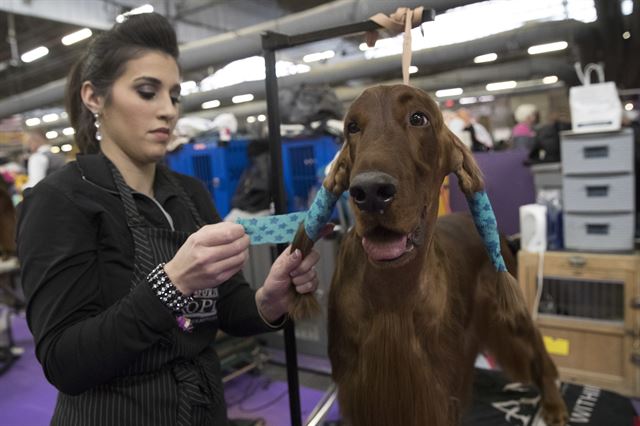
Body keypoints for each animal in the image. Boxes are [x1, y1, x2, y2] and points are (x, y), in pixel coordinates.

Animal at [292, 85, 568, 424]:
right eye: (352, 127)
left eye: (418, 118)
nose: (369, 192)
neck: (392, 292)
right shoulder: (357, 387)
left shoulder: (435, 388)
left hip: (512, 312)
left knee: (539, 352)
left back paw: (554, 405)